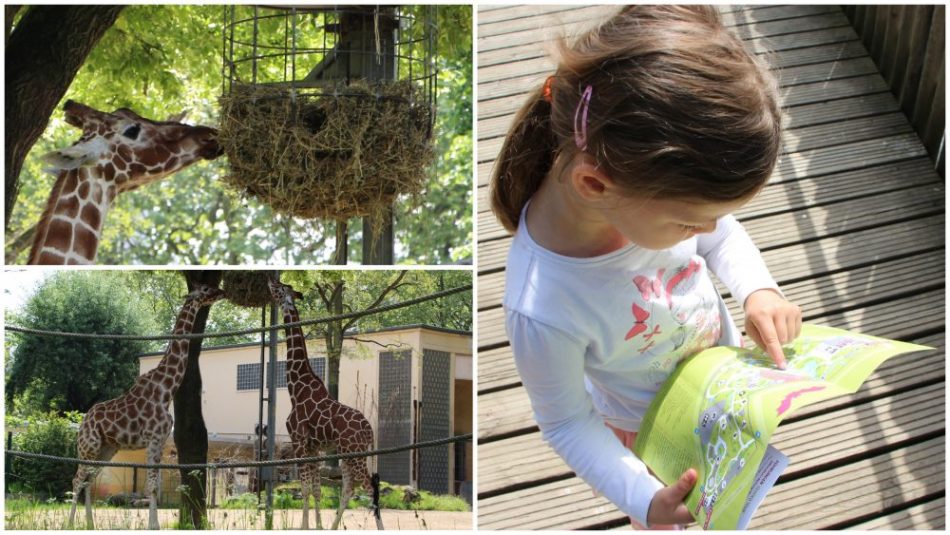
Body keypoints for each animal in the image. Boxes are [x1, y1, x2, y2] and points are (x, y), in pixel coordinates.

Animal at [67, 284, 225, 532]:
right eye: (206, 288)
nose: (223, 292)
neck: (166, 389)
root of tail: (83, 422)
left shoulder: (159, 441)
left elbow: (154, 484)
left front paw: (154, 524)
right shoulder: (153, 439)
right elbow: (151, 485)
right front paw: (153, 526)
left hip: (106, 449)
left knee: (88, 480)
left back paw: (91, 524)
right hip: (88, 447)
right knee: (77, 479)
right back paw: (70, 522)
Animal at [266, 278, 382, 528]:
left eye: (280, 288)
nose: (270, 280)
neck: (296, 388)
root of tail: (369, 430)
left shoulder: (299, 442)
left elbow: (305, 489)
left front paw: (304, 527)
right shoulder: (314, 448)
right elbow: (316, 490)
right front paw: (317, 527)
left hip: (355, 454)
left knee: (370, 488)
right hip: (348, 455)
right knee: (349, 489)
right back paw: (334, 526)